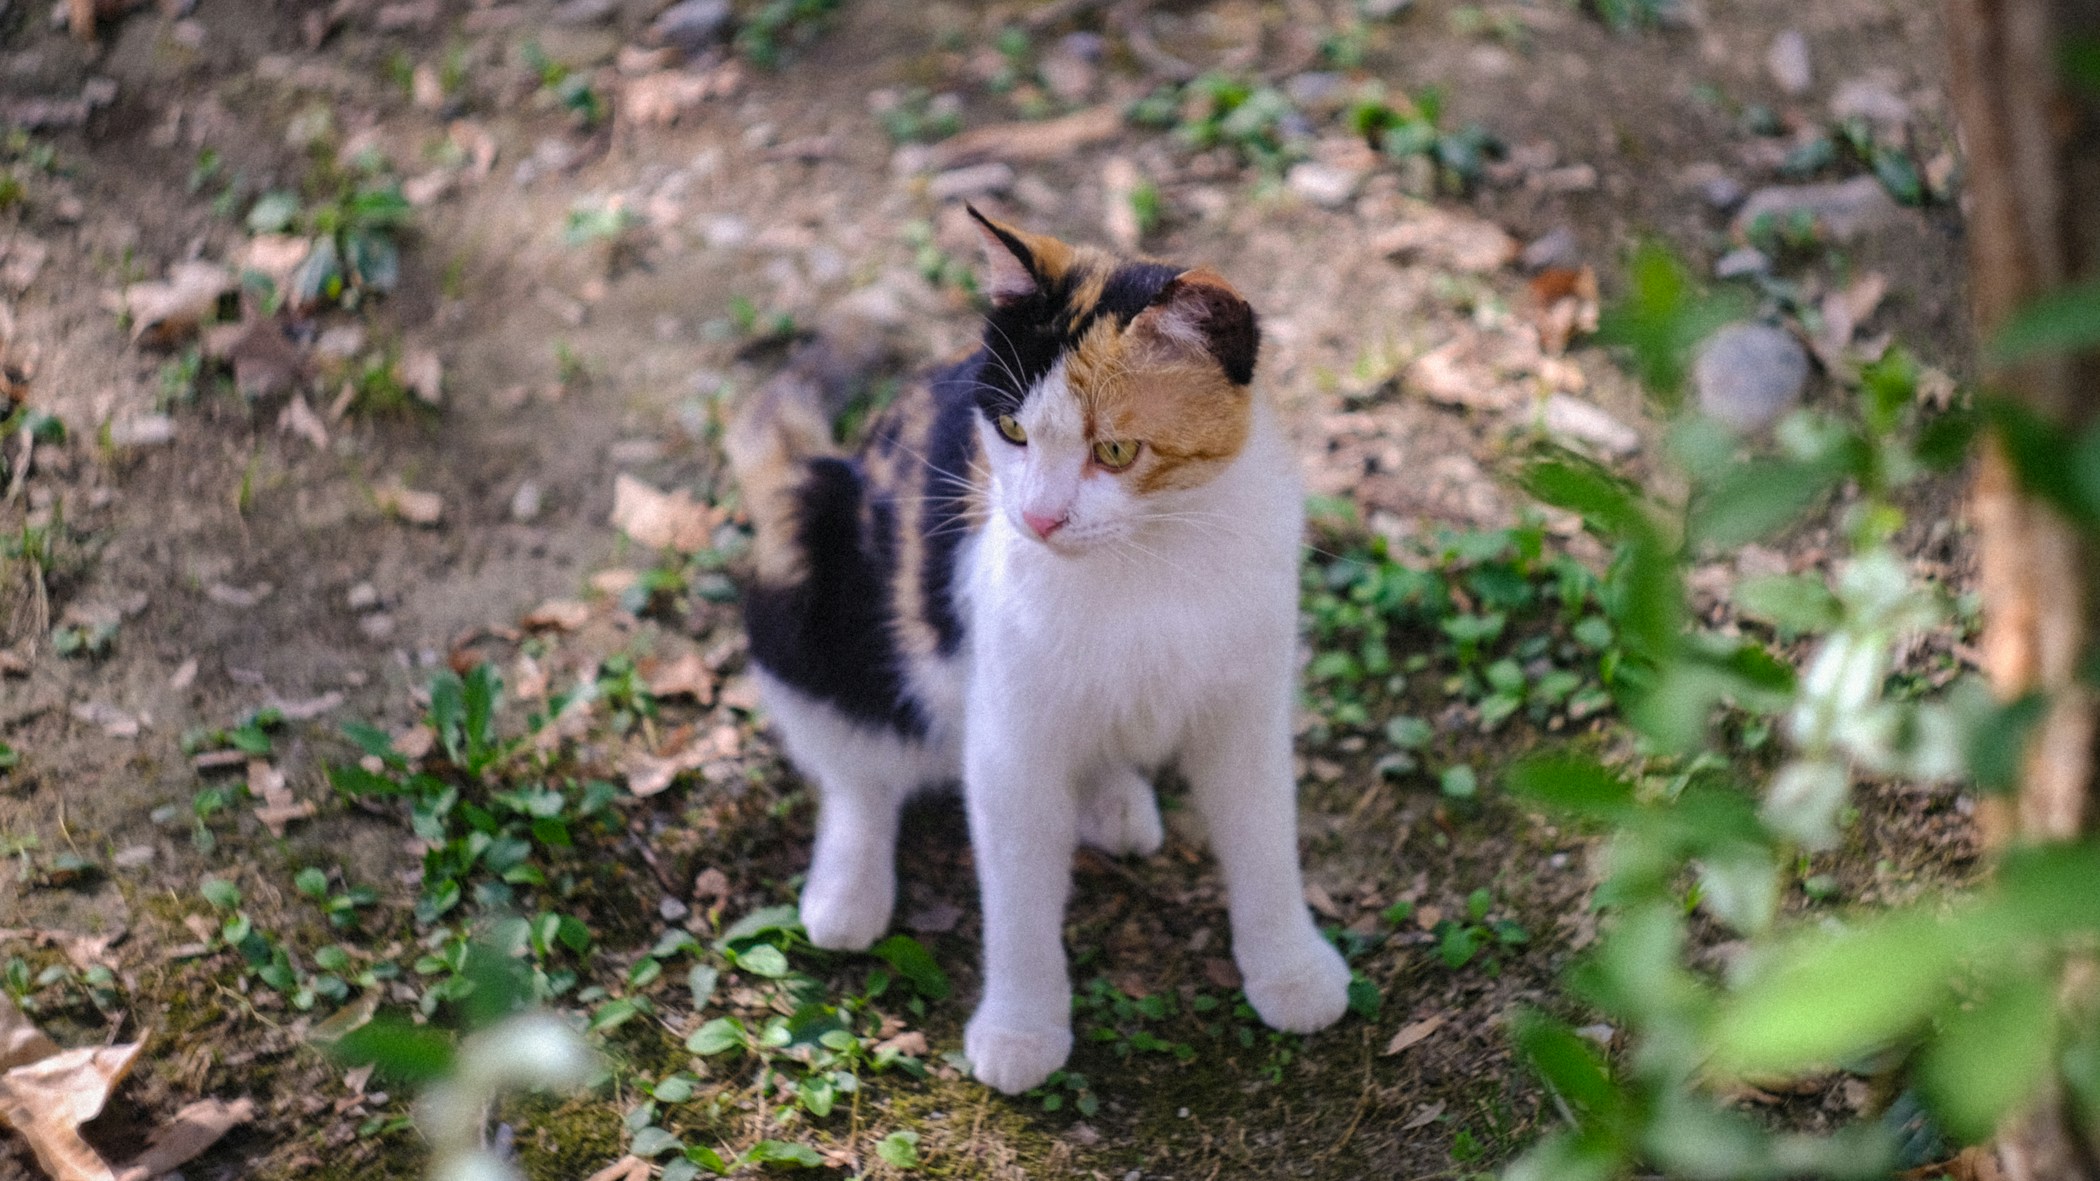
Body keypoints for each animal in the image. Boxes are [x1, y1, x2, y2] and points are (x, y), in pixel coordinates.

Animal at [726, 206, 1344, 1092]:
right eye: (1013, 431)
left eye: (1116, 450)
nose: (1039, 518)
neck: (1149, 562)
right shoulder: (1008, 738)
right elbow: (1017, 888)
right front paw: (1021, 1027)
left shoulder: (1248, 705)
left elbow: (1264, 837)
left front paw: (1291, 969)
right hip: (806, 558)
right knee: (855, 767)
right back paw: (849, 887)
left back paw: (1112, 800)